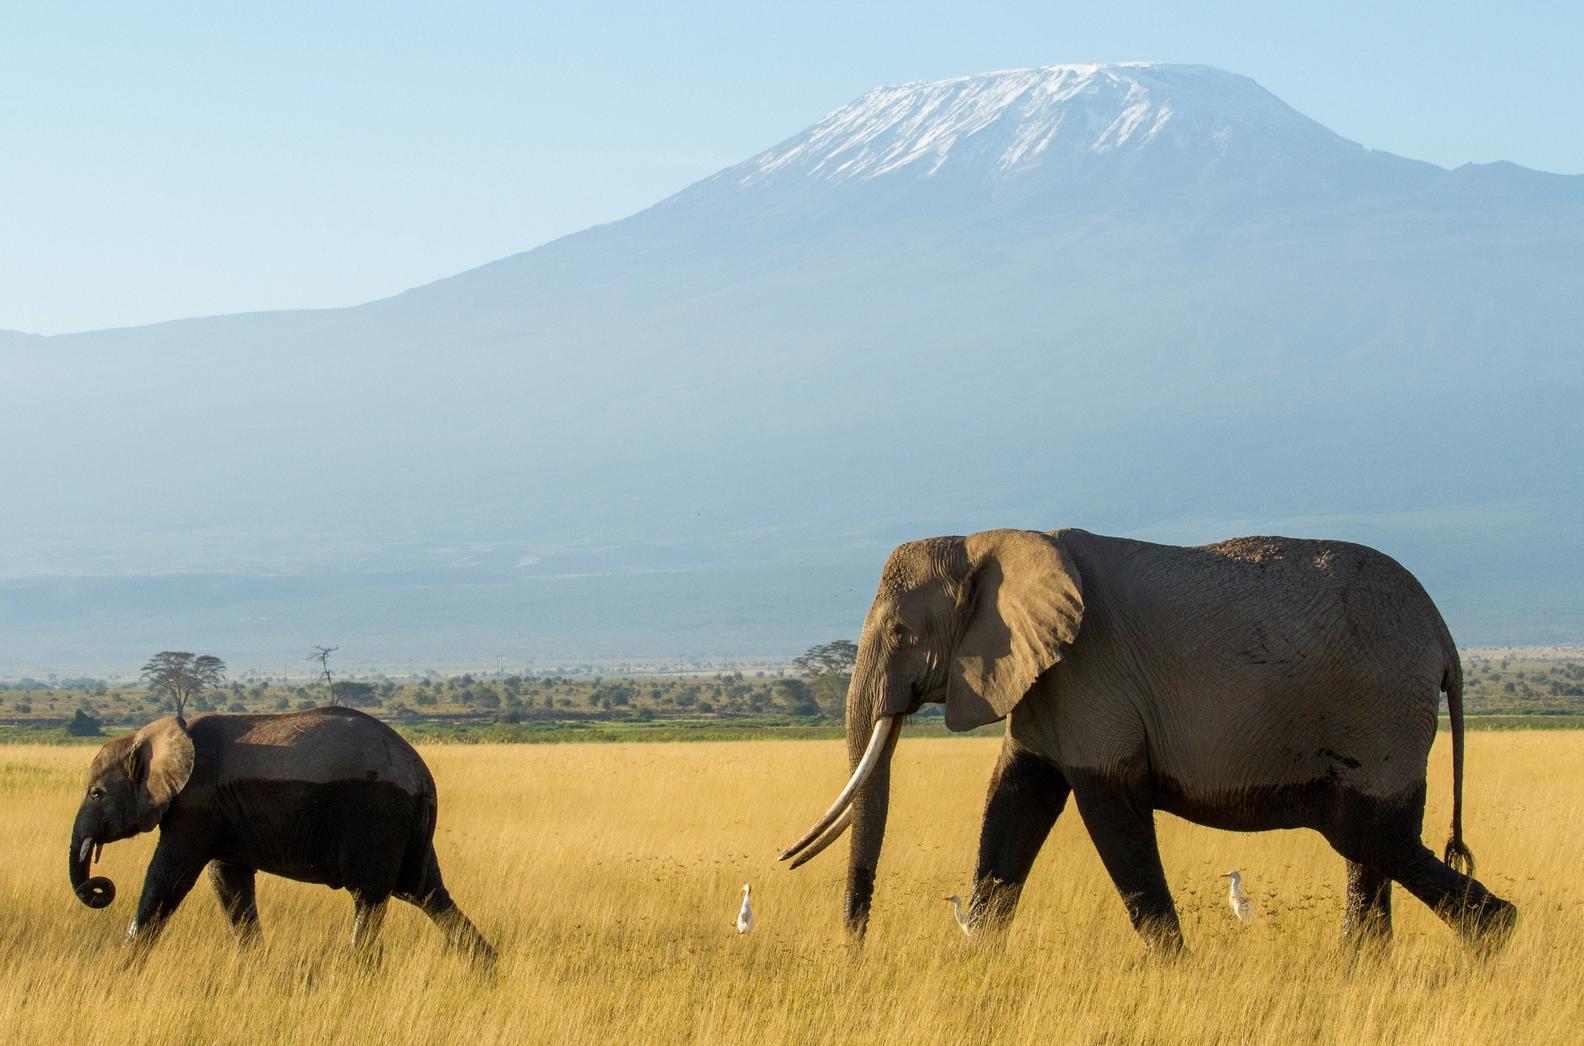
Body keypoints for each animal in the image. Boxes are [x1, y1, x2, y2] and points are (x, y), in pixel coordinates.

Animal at [69, 706, 494, 963]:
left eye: (96, 794)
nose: (100, 886)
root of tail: (421, 773)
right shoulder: (222, 811)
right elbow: (229, 883)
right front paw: (255, 969)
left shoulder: (195, 806)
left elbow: (168, 879)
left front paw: (124, 967)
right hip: (404, 825)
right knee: (427, 893)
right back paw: (487, 971)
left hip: (377, 814)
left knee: (371, 897)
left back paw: (354, 974)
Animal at [781, 528, 1517, 953]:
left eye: (901, 633)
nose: (855, 954)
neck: (990, 540)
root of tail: (1445, 637)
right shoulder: (1047, 677)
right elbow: (1015, 801)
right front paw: (977, 961)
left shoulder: (1090, 671)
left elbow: (1109, 808)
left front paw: (1177, 969)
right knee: (1368, 841)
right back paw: (1363, 969)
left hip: (1379, 710)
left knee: (1366, 829)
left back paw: (1493, 940)